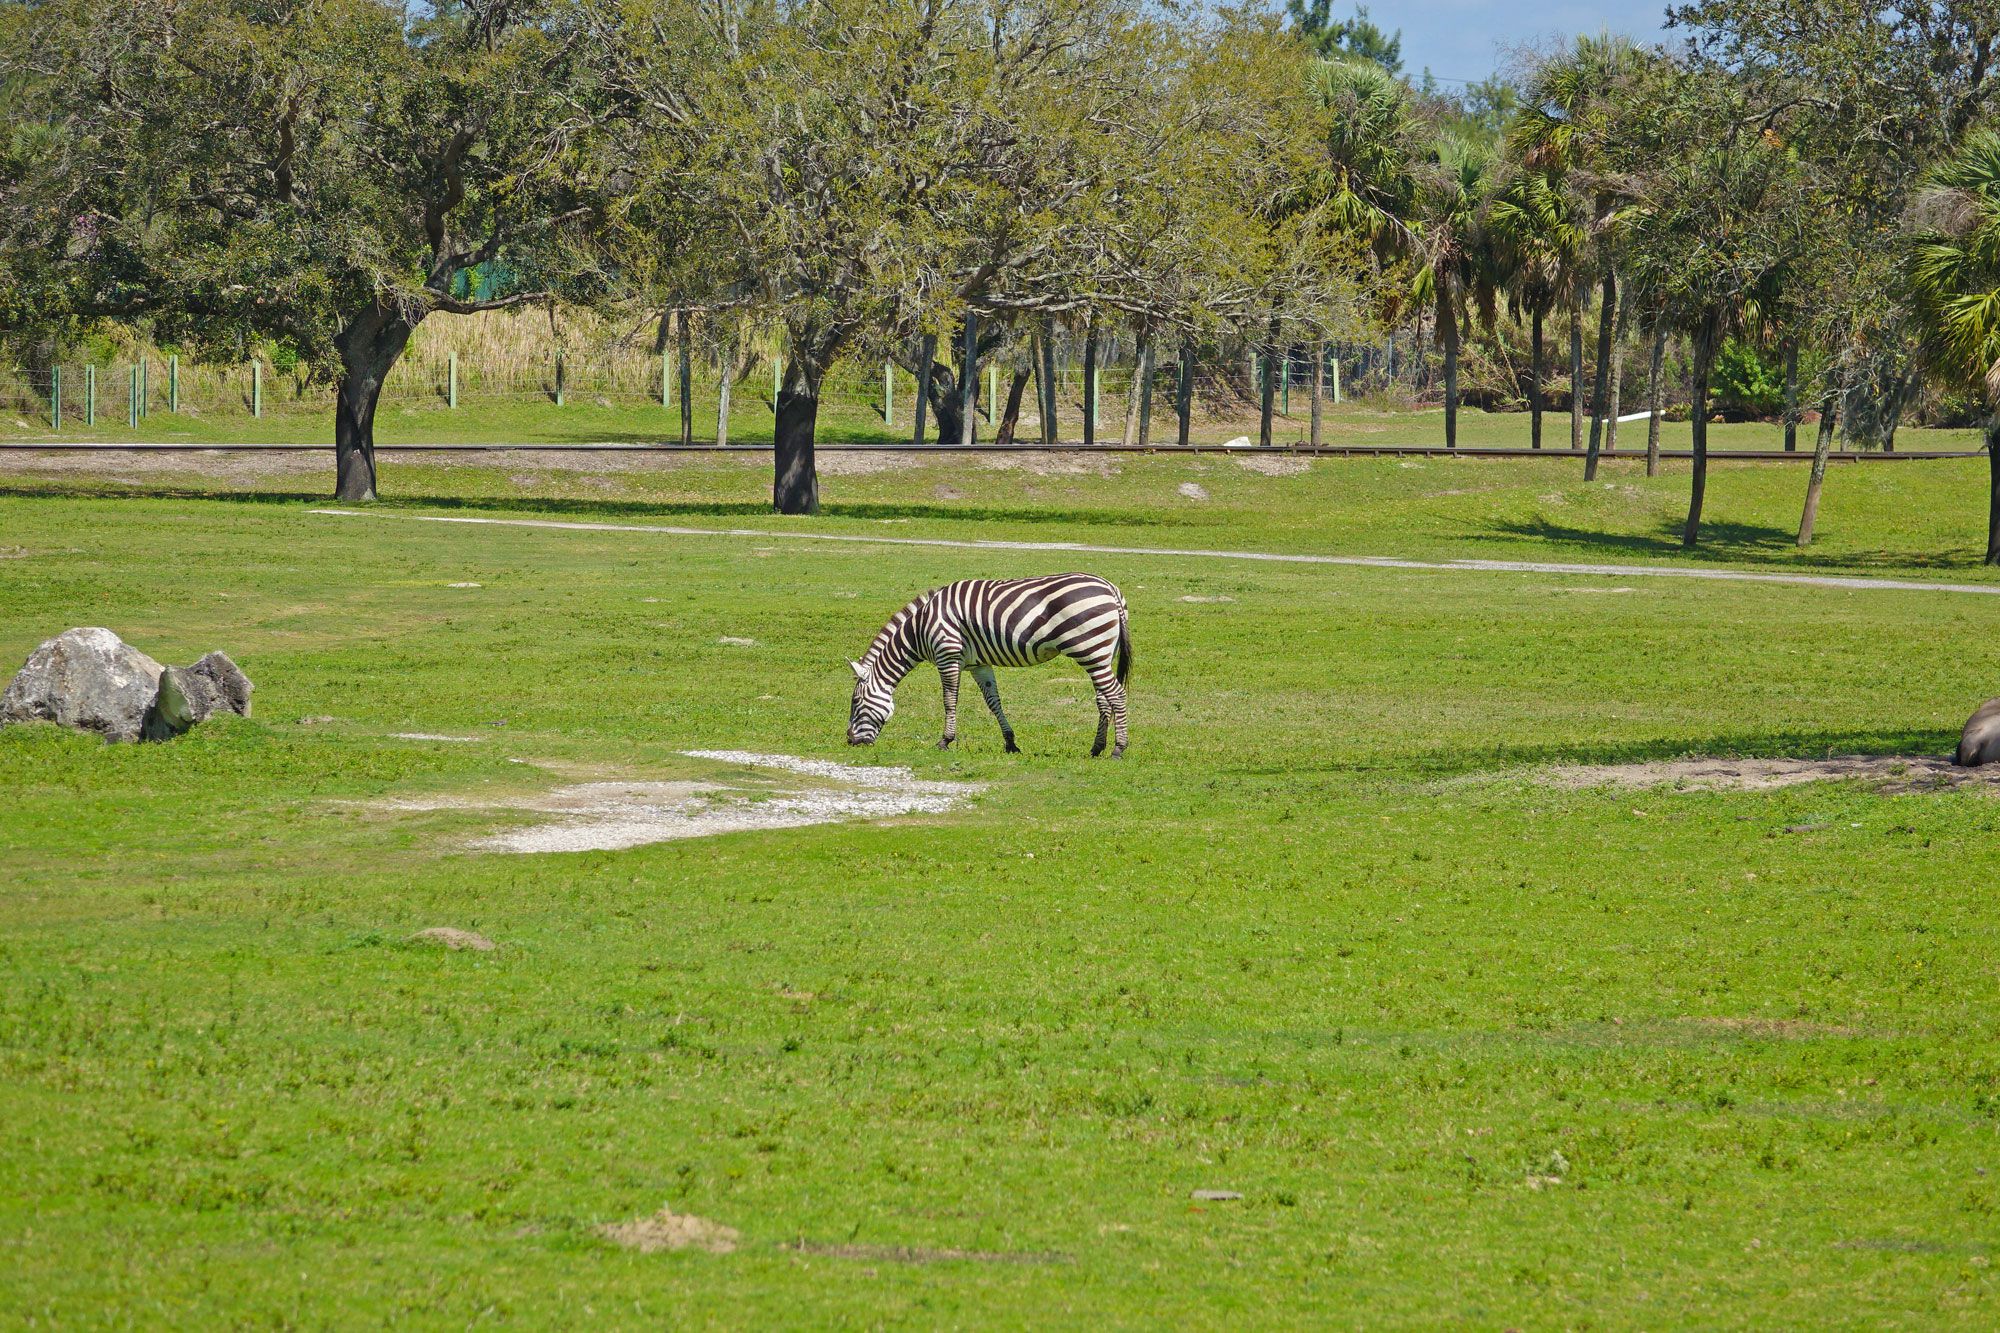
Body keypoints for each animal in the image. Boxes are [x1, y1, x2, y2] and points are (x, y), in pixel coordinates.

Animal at [840, 572, 1128, 756]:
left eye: (855, 701)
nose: (851, 741)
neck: (920, 630)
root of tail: (1111, 589)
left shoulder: (948, 655)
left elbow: (949, 700)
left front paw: (945, 741)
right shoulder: (977, 664)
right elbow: (993, 702)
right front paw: (1010, 743)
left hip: (1089, 649)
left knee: (1117, 694)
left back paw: (1118, 748)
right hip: (1101, 653)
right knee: (1104, 698)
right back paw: (1096, 748)